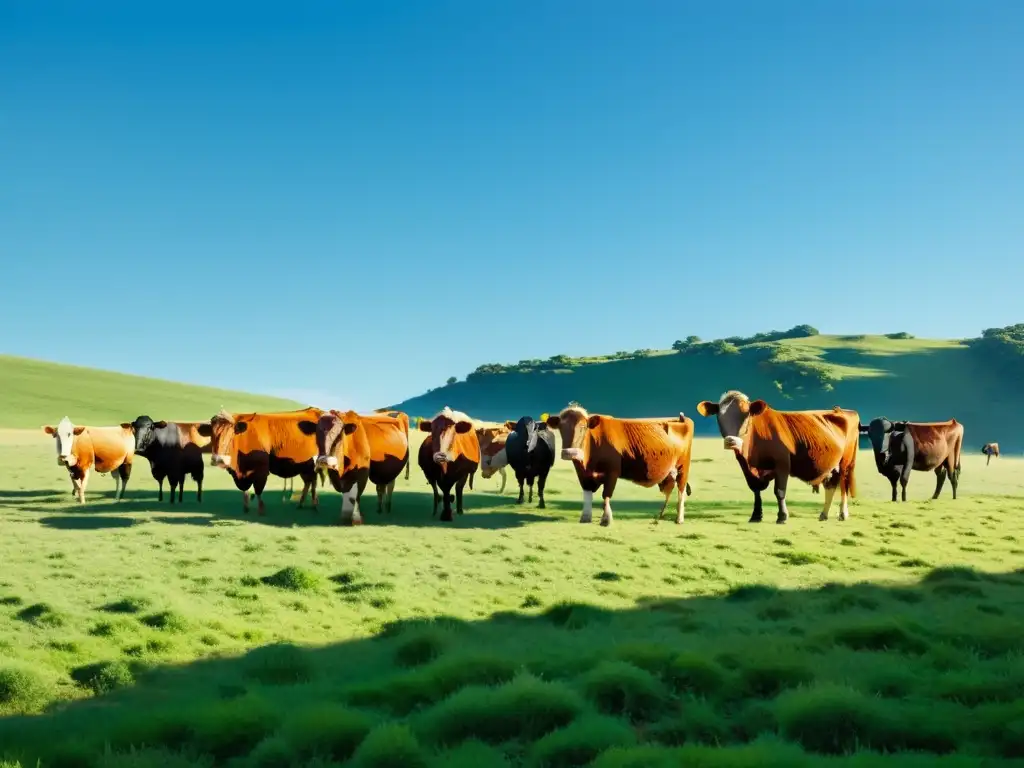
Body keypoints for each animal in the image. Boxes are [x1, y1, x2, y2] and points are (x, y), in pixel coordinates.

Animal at [544, 403, 696, 528]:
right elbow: (587, 494)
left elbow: (606, 494)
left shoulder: (612, 472)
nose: (569, 453)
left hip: (682, 468)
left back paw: (679, 519)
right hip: (669, 473)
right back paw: (659, 516)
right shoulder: (583, 474)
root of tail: (681, 419)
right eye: (561, 428)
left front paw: (606, 520)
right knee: (669, 490)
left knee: (681, 491)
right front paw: (585, 518)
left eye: (583, 427)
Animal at [692, 393, 860, 528]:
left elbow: (779, 491)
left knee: (843, 485)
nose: (731, 441)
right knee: (831, 485)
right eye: (720, 417)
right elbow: (755, 490)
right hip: (832, 466)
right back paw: (824, 514)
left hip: (845, 462)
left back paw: (843, 513)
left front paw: (782, 517)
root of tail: (843, 410)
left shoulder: (782, 464)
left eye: (746, 415)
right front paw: (756, 515)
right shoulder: (746, 467)